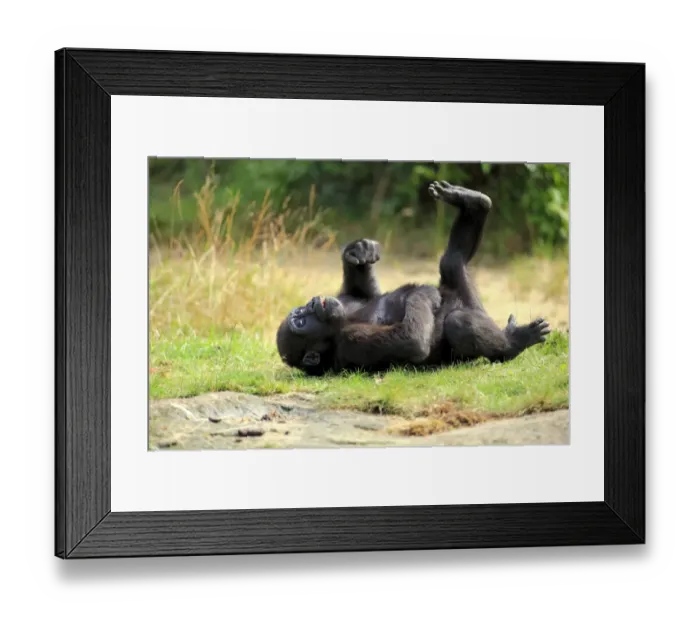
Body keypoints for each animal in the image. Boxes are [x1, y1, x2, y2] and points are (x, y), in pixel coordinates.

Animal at [276, 181, 551, 376]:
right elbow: (411, 341)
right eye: (299, 322)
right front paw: (423, 295)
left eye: (300, 311)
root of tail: (480, 309)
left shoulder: (343, 301)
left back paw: (472, 201)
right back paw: (513, 343)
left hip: (466, 292)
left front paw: (357, 253)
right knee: (460, 322)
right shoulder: (350, 341)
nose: (313, 302)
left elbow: (365, 295)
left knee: (452, 261)